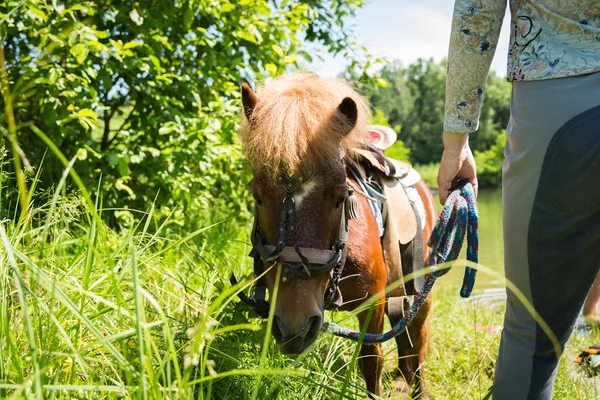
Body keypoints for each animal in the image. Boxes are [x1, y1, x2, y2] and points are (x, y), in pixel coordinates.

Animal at [239, 72, 436, 396]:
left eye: (340, 197)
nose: (296, 325)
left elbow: (371, 361)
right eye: (257, 197)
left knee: (416, 345)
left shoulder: (374, 305)